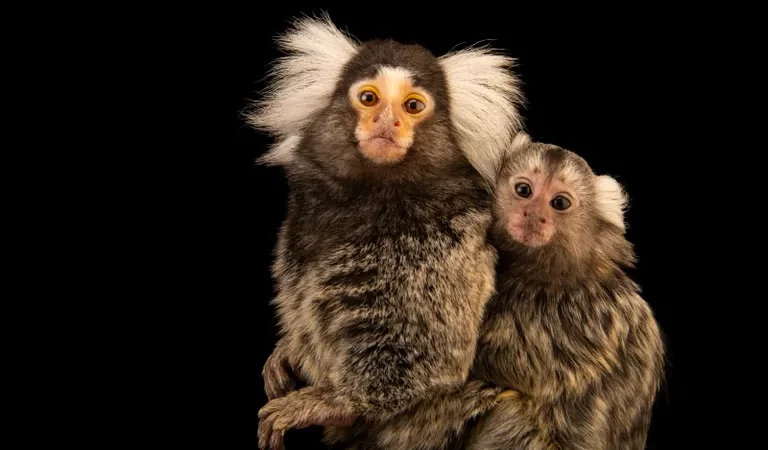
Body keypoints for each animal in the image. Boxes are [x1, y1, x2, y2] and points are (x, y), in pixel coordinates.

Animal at [245, 14, 524, 450]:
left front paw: (330, 403)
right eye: (369, 98)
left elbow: (430, 361)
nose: (387, 123)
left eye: (413, 106)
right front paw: (284, 352)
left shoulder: (444, 250)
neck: (376, 199)